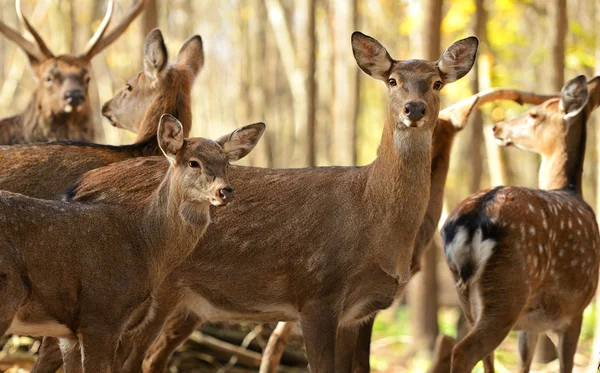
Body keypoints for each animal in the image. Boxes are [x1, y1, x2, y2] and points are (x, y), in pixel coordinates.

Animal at [0, 115, 264, 372]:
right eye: (193, 163)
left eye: (227, 163)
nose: (225, 191)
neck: (144, 244)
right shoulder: (101, 315)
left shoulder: (70, 334)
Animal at [438, 75, 600, 372]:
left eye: (535, 114)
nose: (497, 127)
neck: (571, 189)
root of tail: (472, 221)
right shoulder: (577, 309)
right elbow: (565, 366)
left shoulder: (537, 323)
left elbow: (524, 363)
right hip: (508, 290)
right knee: (464, 351)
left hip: (466, 296)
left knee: (484, 356)